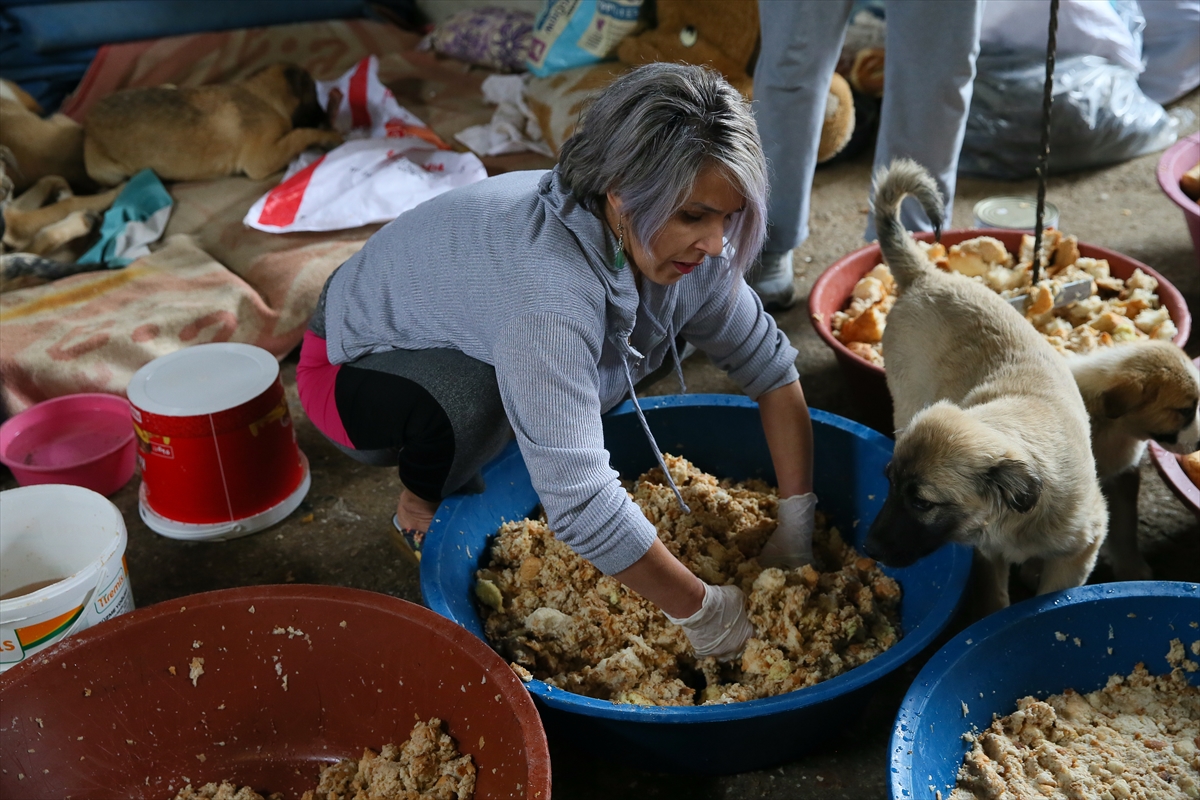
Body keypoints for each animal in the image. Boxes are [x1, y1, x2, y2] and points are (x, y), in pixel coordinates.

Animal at [83, 62, 343, 185]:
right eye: (313, 96)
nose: (325, 115)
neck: (262, 96)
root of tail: (88, 121)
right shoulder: (262, 159)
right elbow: (300, 134)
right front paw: (329, 136)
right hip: (110, 173)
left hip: (169, 86)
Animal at [864, 160, 1104, 614]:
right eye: (886, 482)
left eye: (922, 502)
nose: (871, 550)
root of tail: (925, 276)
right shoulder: (988, 557)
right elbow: (994, 603)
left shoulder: (1079, 552)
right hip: (904, 400)